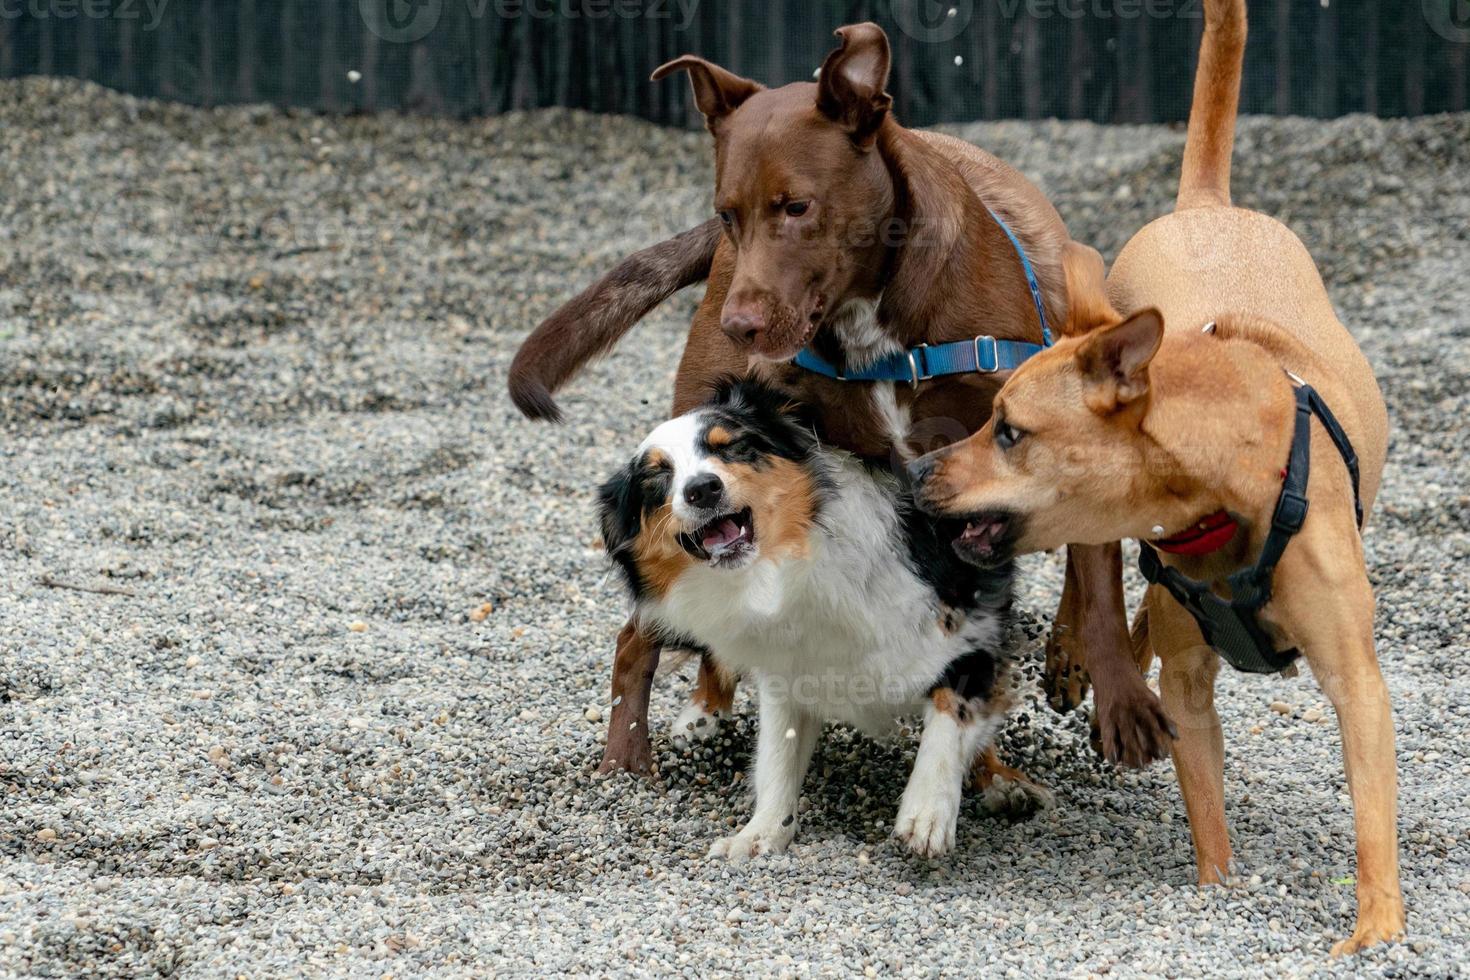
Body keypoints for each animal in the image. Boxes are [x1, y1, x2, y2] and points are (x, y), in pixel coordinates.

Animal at [508, 21, 1170, 775]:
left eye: (797, 207)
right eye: (728, 213)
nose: (740, 325)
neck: (880, 325)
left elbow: (1093, 581)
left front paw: (1115, 696)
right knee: (642, 631)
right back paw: (637, 755)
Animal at [596, 382, 1046, 858]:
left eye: (732, 446)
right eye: (656, 477)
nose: (703, 489)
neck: (779, 573)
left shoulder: (970, 618)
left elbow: (951, 715)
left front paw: (926, 814)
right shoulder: (787, 665)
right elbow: (778, 754)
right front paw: (760, 835)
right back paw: (695, 719)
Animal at [905, 0, 1399, 952]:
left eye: (1011, 431)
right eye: (990, 419)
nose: (917, 475)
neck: (1227, 492)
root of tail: (1207, 205)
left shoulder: (1356, 680)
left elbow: (1370, 814)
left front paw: (1378, 931)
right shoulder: (1190, 680)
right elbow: (1205, 806)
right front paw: (1217, 895)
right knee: (1108, 589)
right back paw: (1074, 655)